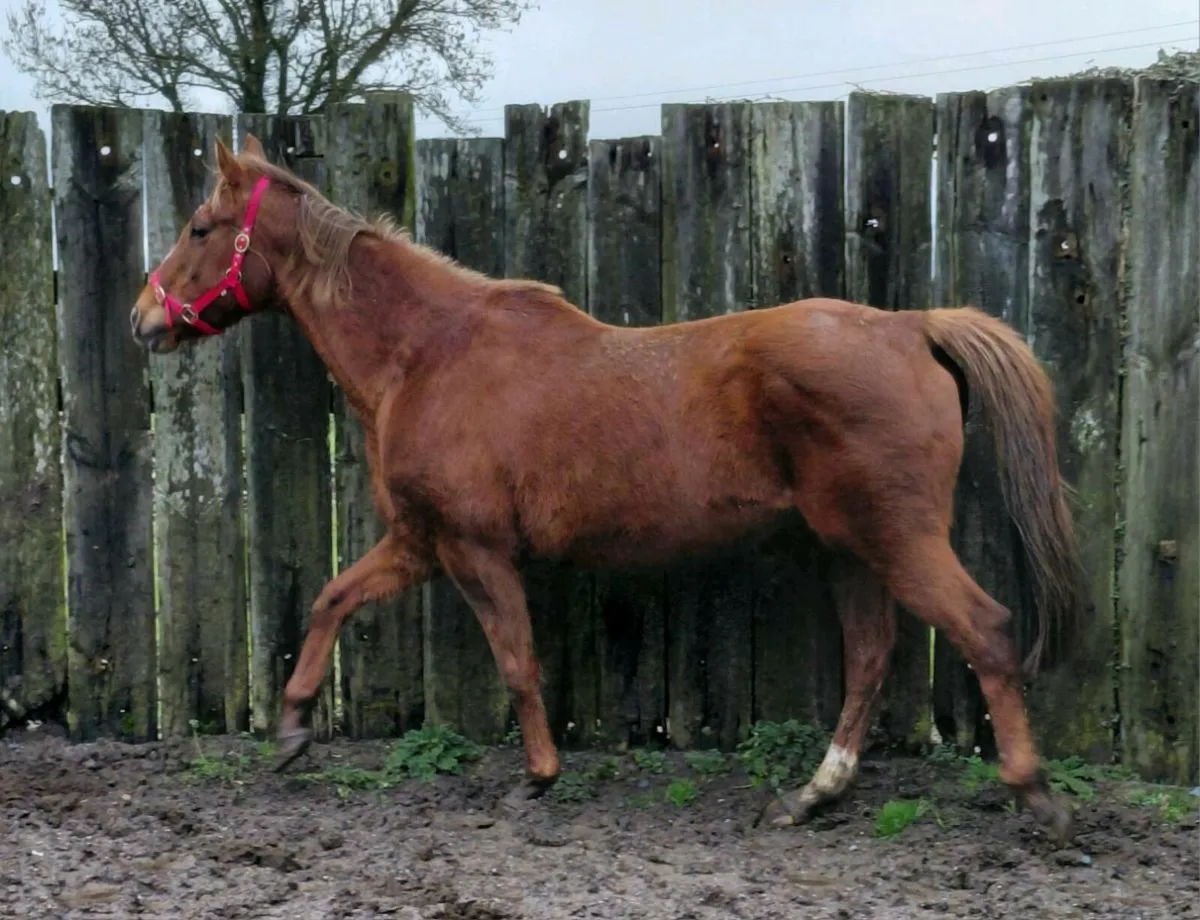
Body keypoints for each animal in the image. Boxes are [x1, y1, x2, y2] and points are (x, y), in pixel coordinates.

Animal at [129, 134, 1085, 844]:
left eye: (202, 225)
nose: (144, 320)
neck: (427, 354)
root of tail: (913, 328)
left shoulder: (474, 549)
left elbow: (517, 662)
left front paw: (538, 779)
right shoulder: (420, 543)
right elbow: (333, 598)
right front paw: (293, 728)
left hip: (898, 539)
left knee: (987, 631)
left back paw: (1035, 794)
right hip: (851, 548)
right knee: (872, 658)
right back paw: (812, 796)